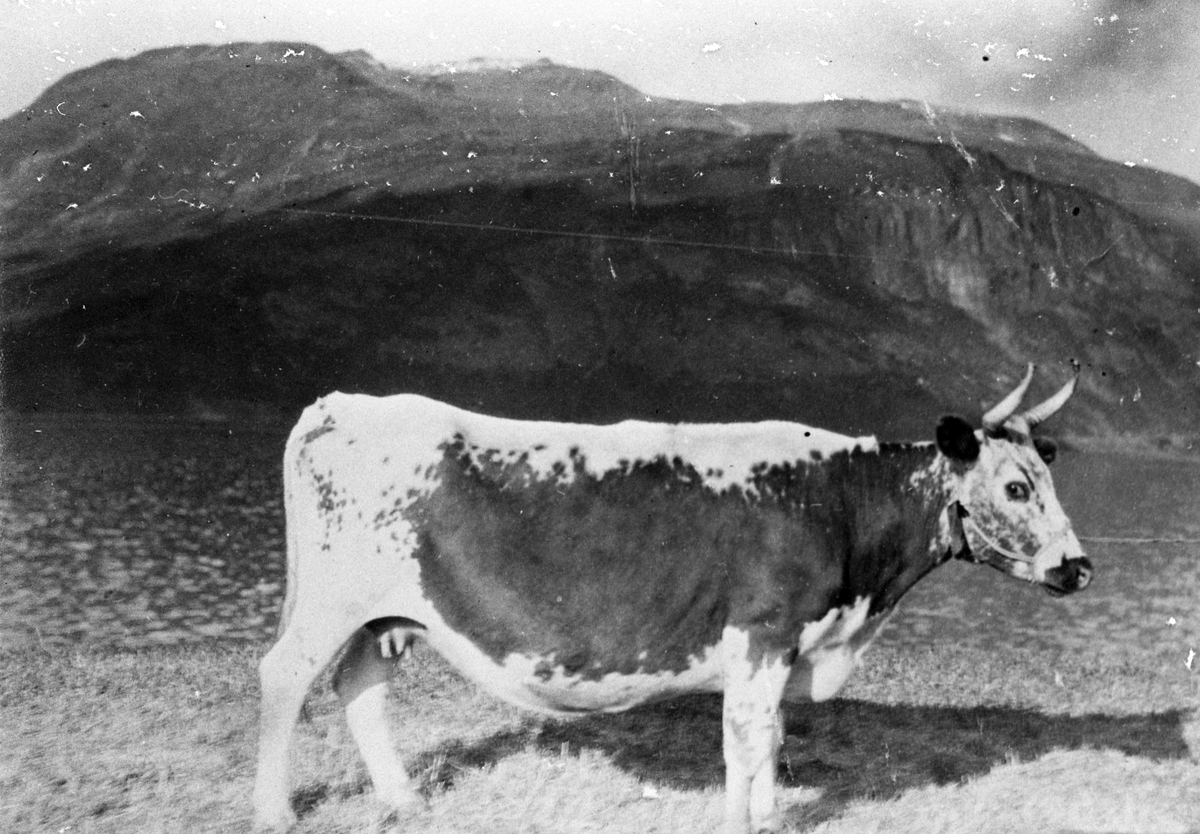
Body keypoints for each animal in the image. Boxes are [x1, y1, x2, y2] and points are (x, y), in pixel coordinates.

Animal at [255, 364, 1099, 834]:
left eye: (1045, 476)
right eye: (1015, 486)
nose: (1080, 567)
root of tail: (342, 404)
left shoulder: (785, 644)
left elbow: (772, 735)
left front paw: (768, 817)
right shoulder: (762, 630)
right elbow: (747, 738)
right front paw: (740, 823)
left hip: (387, 611)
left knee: (360, 684)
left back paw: (403, 804)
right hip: (333, 598)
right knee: (286, 676)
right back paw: (274, 812)